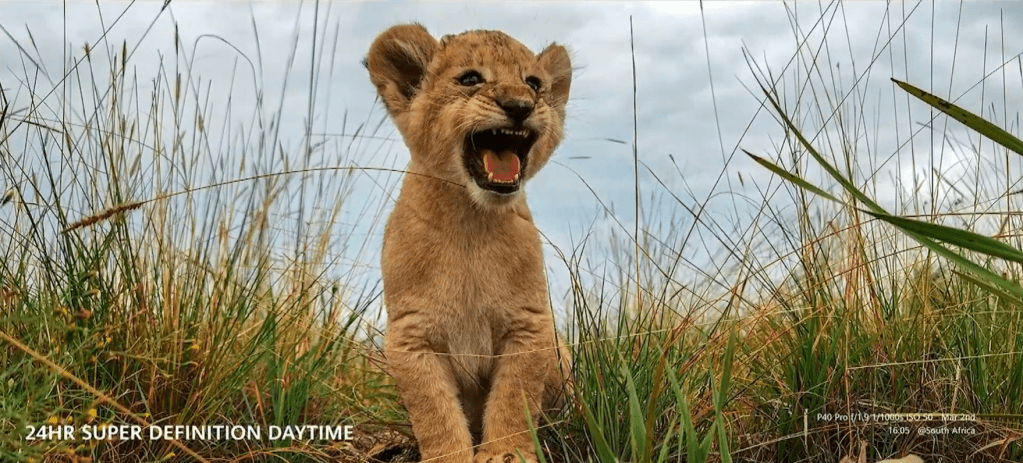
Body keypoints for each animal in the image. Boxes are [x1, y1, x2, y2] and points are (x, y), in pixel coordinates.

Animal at [365, 24, 572, 463]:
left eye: (534, 83)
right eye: (471, 79)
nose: (520, 105)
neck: (470, 223)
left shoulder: (530, 325)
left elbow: (515, 397)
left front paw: (506, 453)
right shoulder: (411, 335)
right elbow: (434, 410)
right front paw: (450, 456)